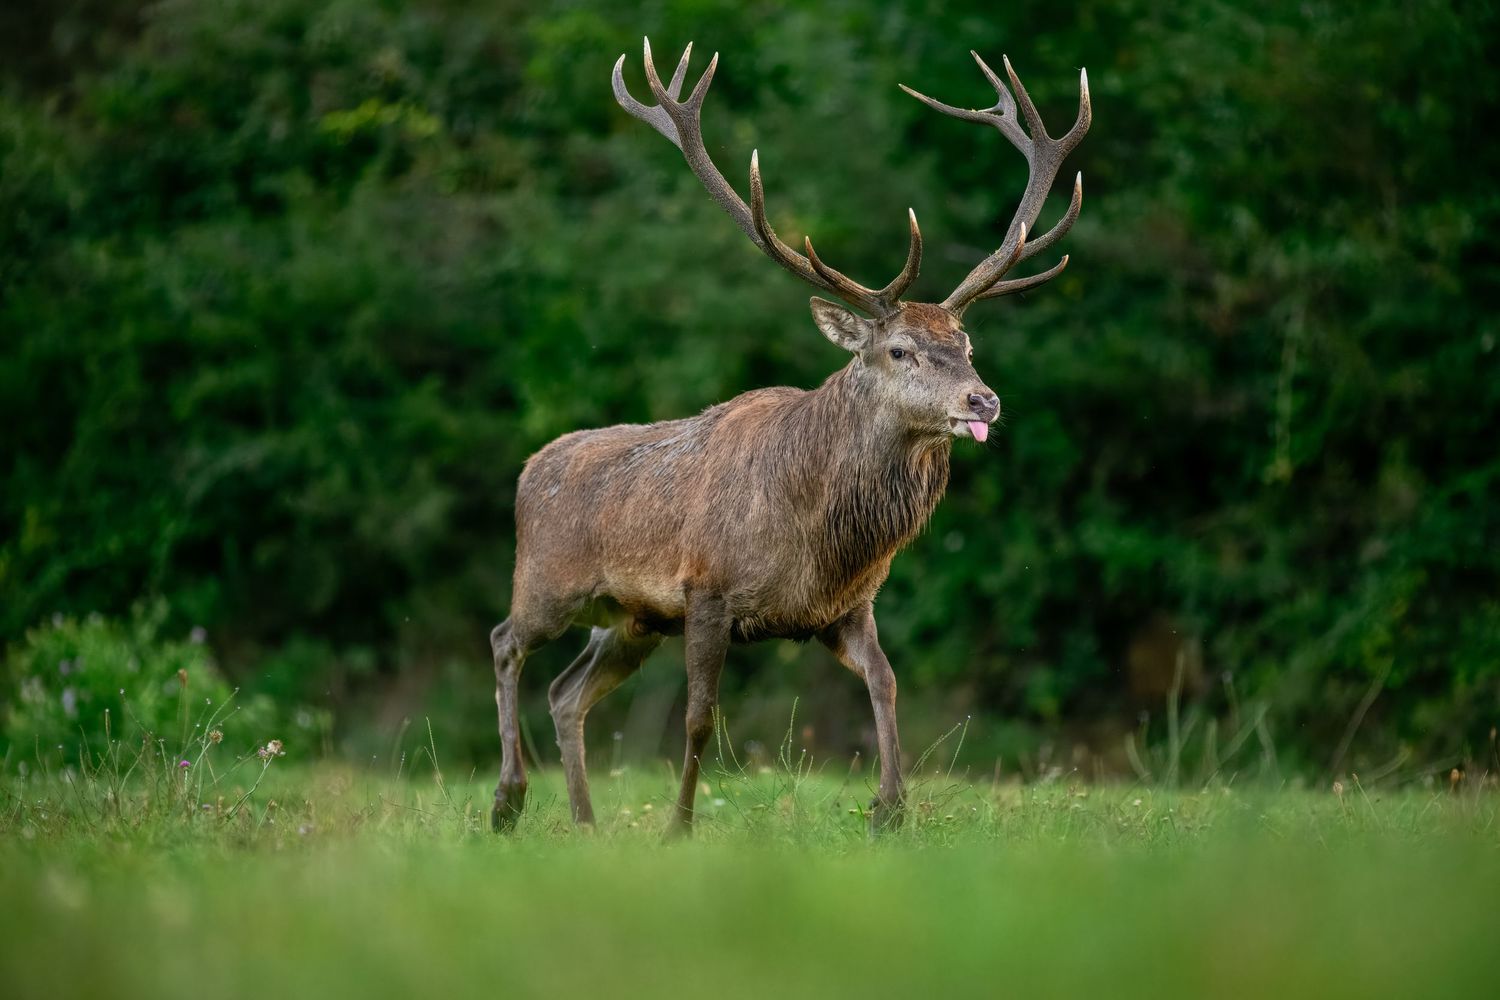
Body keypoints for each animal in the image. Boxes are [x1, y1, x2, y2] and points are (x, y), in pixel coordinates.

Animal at [489, 38, 1090, 835]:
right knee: (505, 644)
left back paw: (585, 824)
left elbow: (887, 684)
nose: (984, 400)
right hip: (548, 582)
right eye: (899, 349)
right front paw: (679, 827)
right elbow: (700, 718)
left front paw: (890, 810)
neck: (817, 537)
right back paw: (507, 800)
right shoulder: (706, 590)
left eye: (964, 342)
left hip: (630, 621)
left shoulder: (846, 607)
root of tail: (530, 468)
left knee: (565, 693)